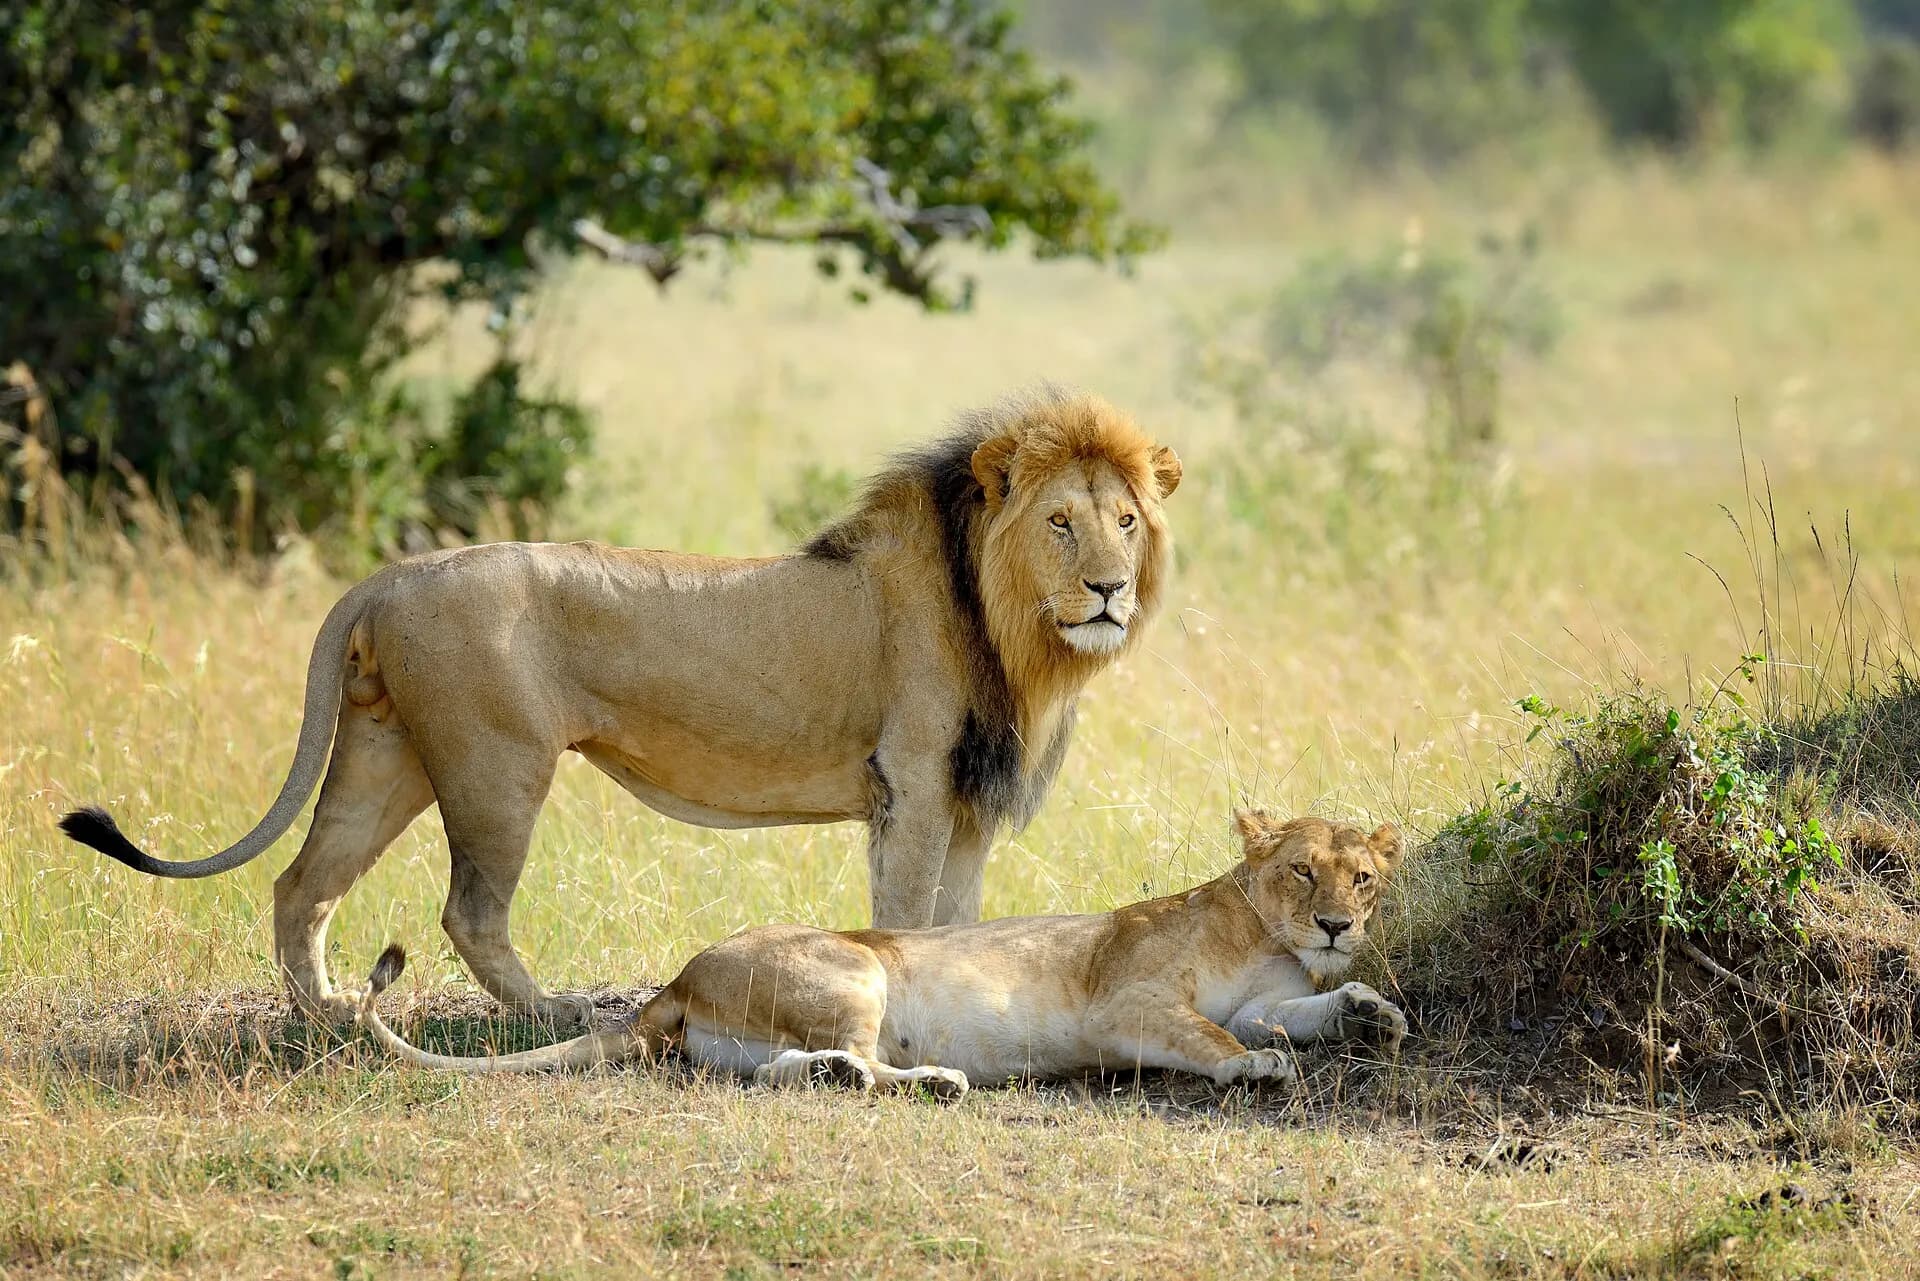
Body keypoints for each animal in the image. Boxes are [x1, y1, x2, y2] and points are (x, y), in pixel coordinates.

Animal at [59, 388, 1182, 1027]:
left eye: (1127, 521)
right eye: (1061, 522)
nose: (1109, 591)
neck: (1012, 630)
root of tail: (392, 574)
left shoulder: (968, 801)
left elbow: (960, 918)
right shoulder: (908, 784)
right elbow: (908, 917)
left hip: (386, 752)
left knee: (302, 884)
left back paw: (326, 1016)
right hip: (495, 765)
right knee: (468, 909)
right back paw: (547, 1015)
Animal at [350, 812, 1408, 1094]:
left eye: (1361, 878)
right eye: (1303, 872)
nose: (1336, 925)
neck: (1260, 928)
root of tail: (678, 978)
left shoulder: (1264, 993)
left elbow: (1297, 1010)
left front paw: (1370, 1010)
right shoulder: (1128, 1004)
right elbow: (1219, 1039)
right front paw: (1258, 1068)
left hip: (751, 1037)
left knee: (783, 1070)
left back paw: (841, 1075)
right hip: (854, 970)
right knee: (865, 1060)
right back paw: (935, 1080)